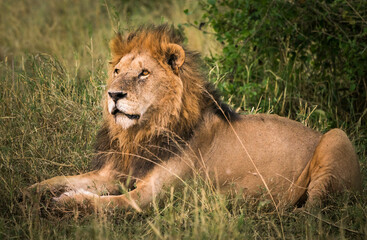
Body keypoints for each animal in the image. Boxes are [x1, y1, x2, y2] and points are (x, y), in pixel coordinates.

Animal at [28, 24, 362, 212]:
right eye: (117, 71)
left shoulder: (149, 198)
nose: (113, 94)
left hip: (337, 136)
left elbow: (104, 203)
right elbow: (62, 179)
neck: (141, 134)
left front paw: (67, 201)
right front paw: (29, 192)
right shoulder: (113, 174)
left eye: (144, 73)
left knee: (314, 210)